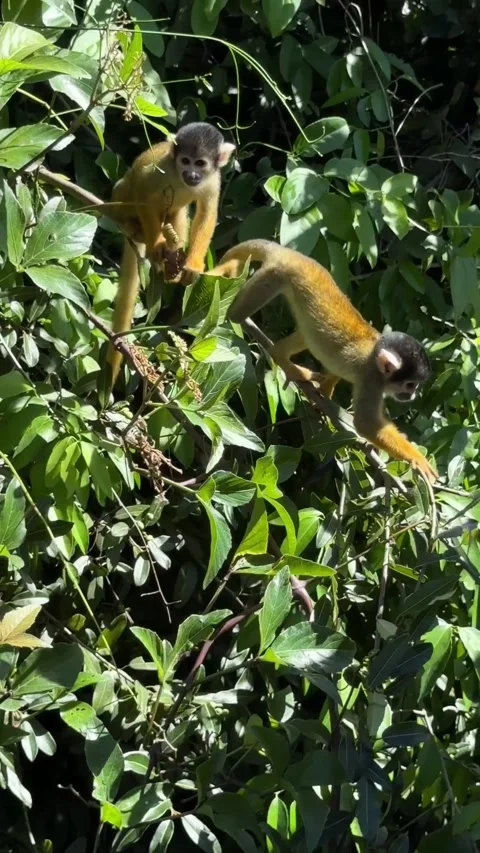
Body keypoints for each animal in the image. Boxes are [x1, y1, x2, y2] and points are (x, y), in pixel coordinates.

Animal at [106, 122, 235, 385]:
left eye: (200, 163)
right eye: (185, 161)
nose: (192, 175)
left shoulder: (213, 179)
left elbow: (206, 214)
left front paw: (192, 265)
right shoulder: (163, 169)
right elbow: (144, 190)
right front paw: (156, 246)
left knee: (179, 213)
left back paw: (172, 262)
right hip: (120, 200)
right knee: (131, 188)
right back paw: (136, 230)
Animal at [206, 239, 437, 483]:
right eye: (410, 385)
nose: (412, 396)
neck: (375, 355)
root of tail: (289, 253)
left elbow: (335, 369)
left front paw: (325, 391)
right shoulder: (371, 379)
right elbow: (367, 425)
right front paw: (417, 459)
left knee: (307, 334)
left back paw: (281, 355)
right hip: (273, 275)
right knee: (237, 314)